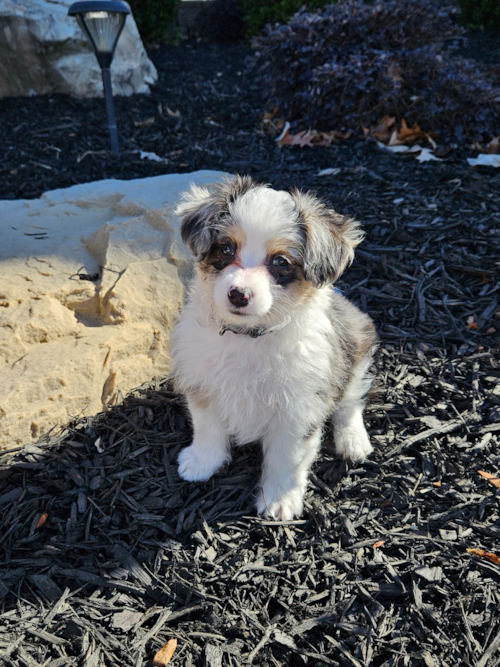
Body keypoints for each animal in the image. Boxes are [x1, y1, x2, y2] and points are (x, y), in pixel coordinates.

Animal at [172, 175, 378, 520]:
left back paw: (353, 441)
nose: (238, 294)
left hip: (356, 349)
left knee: (350, 402)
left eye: (280, 261)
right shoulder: (202, 383)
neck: (248, 336)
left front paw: (280, 500)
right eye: (226, 248)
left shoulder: (299, 410)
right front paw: (202, 462)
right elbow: (207, 427)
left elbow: (287, 458)